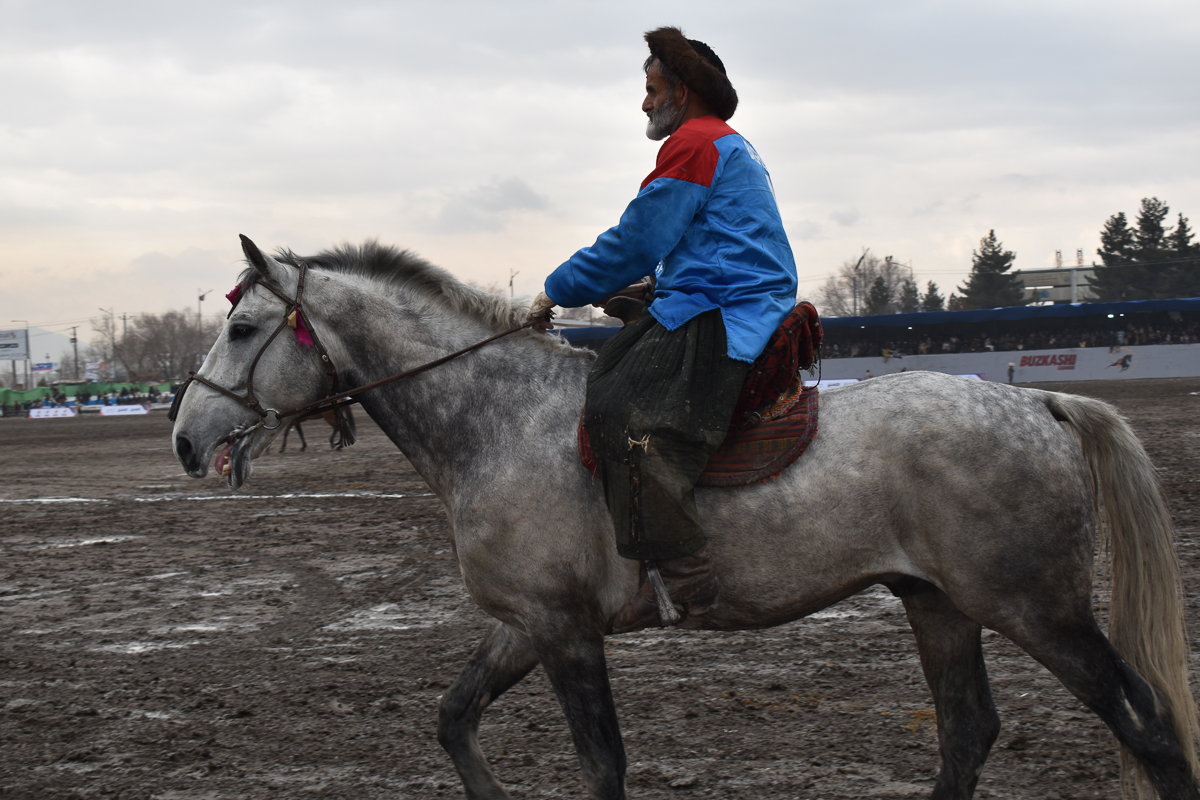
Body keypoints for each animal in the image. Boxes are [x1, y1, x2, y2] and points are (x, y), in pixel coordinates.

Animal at [170, 237, 1200, 800]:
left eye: (244, 328)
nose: (185, 438)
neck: (499, 420)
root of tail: (1037, 403)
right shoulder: (526, 624)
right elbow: (454, 721)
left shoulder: (564, 631)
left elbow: (603, 764)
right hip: (938, 604)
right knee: (968, 735)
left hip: (1036, 608)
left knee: (1147, 725)